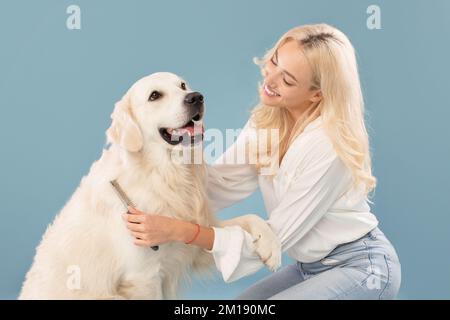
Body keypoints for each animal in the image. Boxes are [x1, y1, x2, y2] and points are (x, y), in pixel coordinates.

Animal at [18, 72, 282, 300]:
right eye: (154, 96)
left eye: (183, 86)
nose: (196, 97)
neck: (163, 173)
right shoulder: (143, 277)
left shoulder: (191, 243)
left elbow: (248, 220)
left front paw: (271, 246)